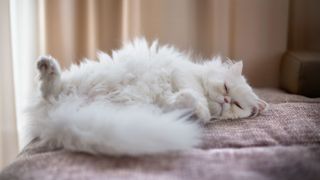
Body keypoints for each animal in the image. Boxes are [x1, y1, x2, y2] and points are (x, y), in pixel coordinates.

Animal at [26, 38, 268, 155]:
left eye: (237, 105)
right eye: (226, 88)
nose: (226, 101)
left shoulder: (165, 103)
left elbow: (182, 100)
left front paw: (198, 112)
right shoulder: (183, 73)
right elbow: (195, 93)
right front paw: (202, 110)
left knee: (50, 93)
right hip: (85, 80)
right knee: (50, 90)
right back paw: (47, 66)